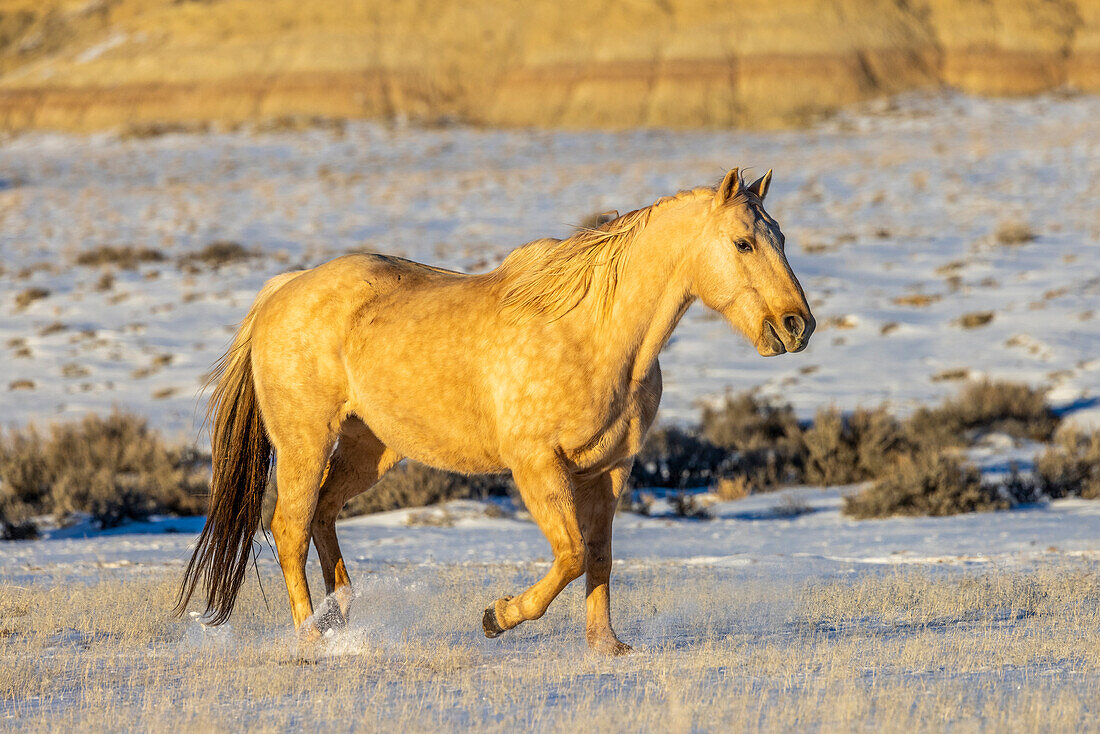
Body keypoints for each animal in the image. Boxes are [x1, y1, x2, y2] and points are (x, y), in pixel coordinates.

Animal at [176, 168, 818, 655]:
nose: (796, 325)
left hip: (371, 449)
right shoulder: (536, 466)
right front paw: (498, 616)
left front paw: (607, 647)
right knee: (289, 526)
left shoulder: (610, 470)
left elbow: (600, 557)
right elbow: (571, 556)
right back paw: (312, 638)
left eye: (782, 237)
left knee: (323, 515)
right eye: (742, 243)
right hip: (305, 443)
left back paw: (340, 617)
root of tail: (282, 290)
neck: (593, 336)